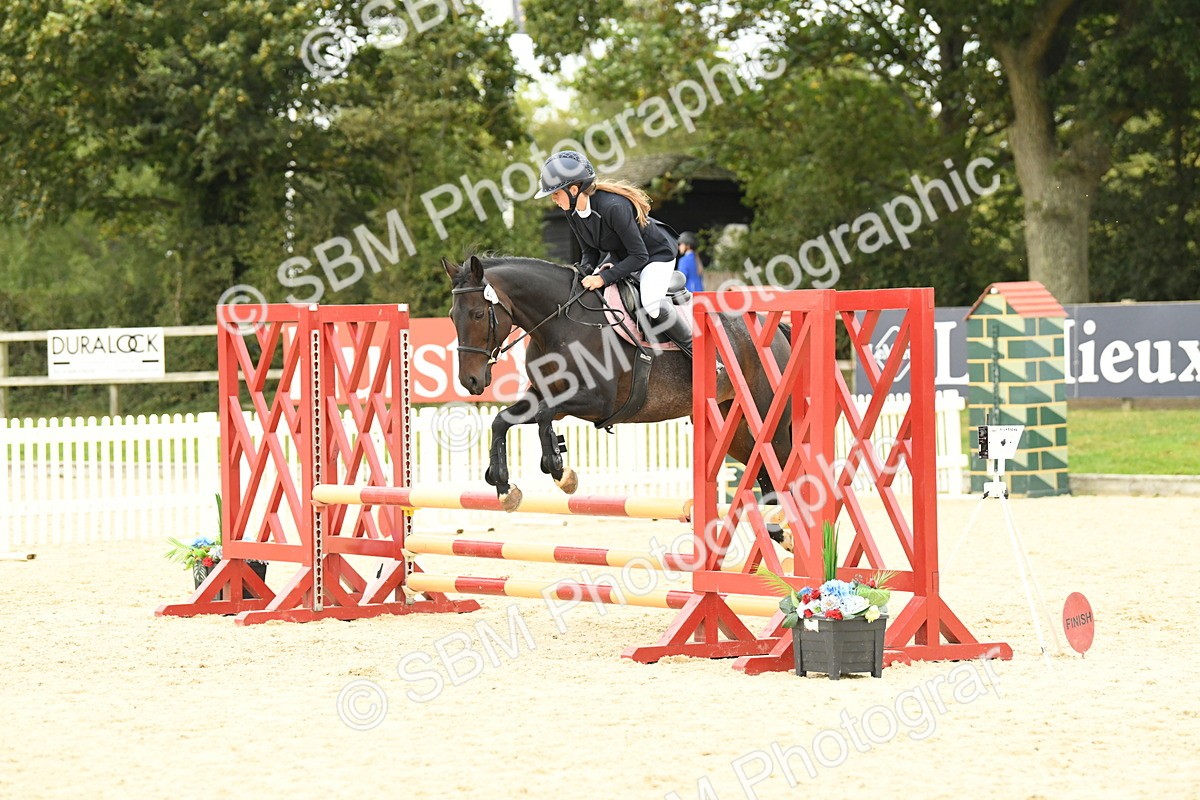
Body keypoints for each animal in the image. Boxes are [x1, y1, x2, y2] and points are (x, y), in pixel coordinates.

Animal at [442, 254, 794, 547]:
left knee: (780, 465)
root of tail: (774, 329)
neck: (560, 324)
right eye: (452, 316)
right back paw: (777, 530)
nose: (470, 381)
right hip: (734, 428)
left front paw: (560, 471)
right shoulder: (544, 395)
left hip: (768, 422)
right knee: (762, 468)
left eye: (477, 314)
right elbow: (501, 421)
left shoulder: (598, 403)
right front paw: (504, 487)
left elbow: (544, 417)